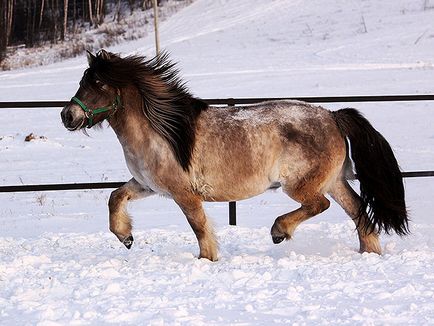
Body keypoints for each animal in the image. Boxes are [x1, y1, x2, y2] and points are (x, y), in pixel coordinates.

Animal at [60, 49, 406, 262]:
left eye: (98, 83)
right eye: (82, 81)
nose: (67, 116)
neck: (162, 131)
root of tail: (333, 116)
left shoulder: (183, 193)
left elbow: (199, 226)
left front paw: (207, 258)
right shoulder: (146, 185)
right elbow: (115, 197)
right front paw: (126, 237)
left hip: (302, 184)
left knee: (319, 205)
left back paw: (279, 232)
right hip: (333, 180)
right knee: (358, 209)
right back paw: (369, 253)